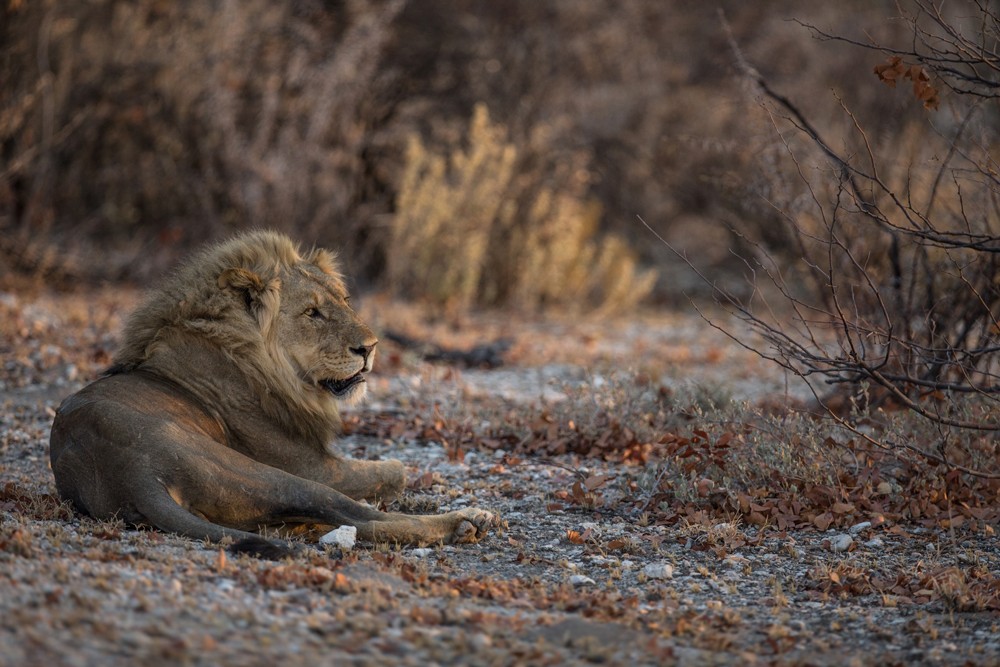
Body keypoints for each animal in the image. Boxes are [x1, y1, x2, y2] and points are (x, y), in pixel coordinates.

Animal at [48, 232, 498, 556]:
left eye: (344, 301)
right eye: (312, 313)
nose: (370, 348)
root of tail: (128, 472)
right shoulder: (317, 467)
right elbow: (396, 471)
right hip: (274, 477)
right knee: (357, 516)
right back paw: (469, 520)